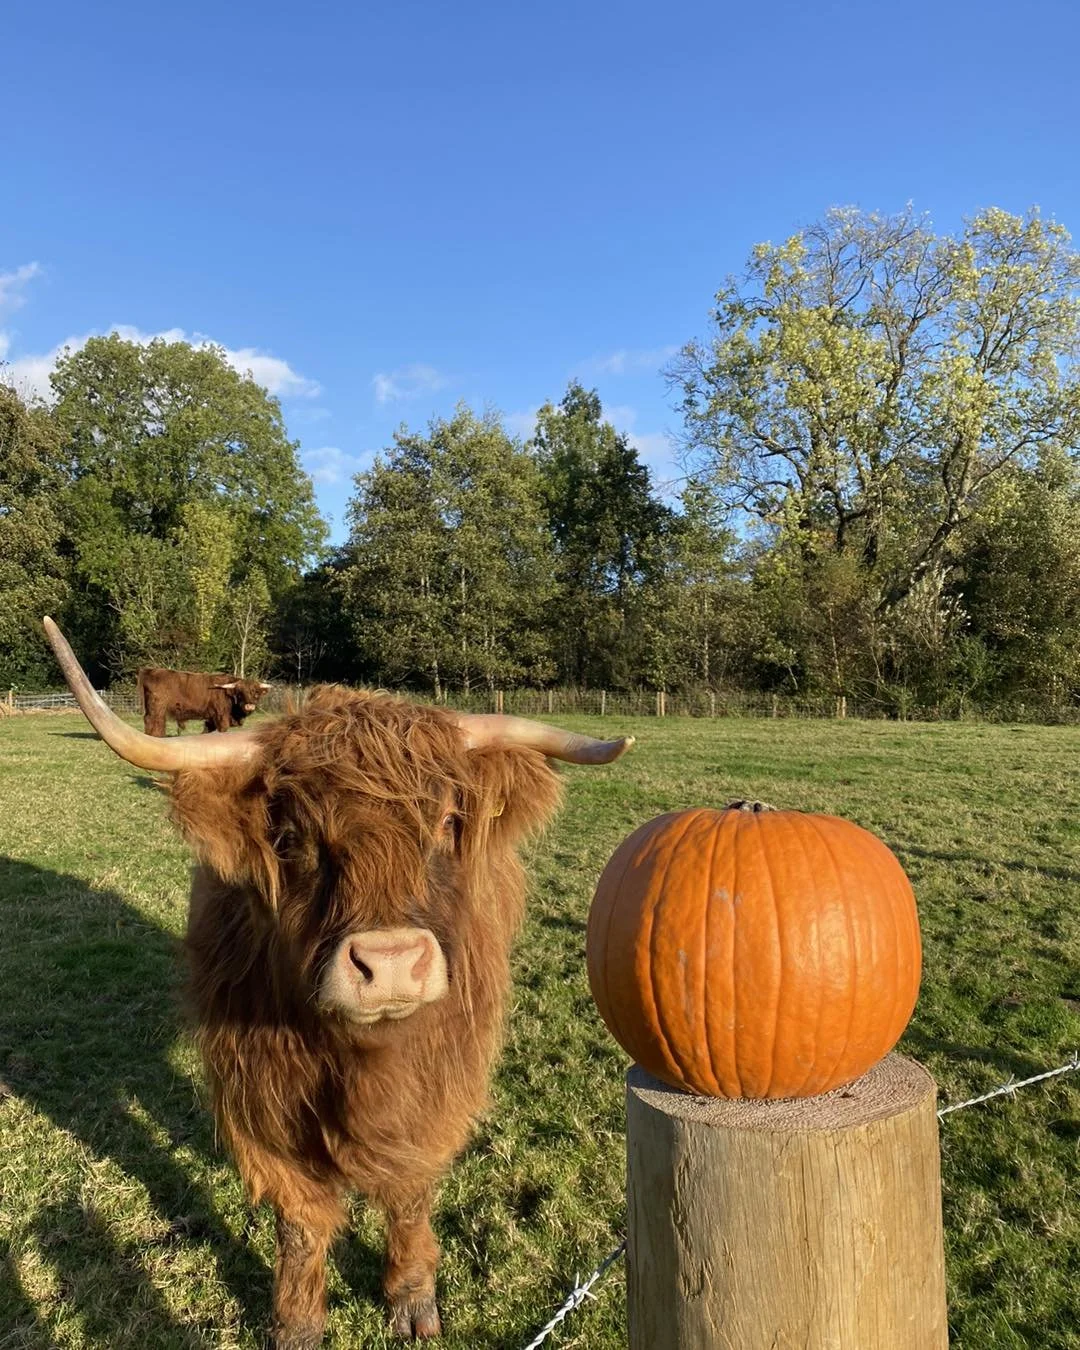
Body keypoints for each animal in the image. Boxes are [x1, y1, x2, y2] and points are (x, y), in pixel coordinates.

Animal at [137, 665, 272, 737]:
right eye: (240, 693)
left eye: (256, 693)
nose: (250, 706)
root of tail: (150, 670)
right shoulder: (221, 716)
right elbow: (222, 729)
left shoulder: (211, 718)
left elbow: (207, 730)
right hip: (157, 708)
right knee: (154, 722)